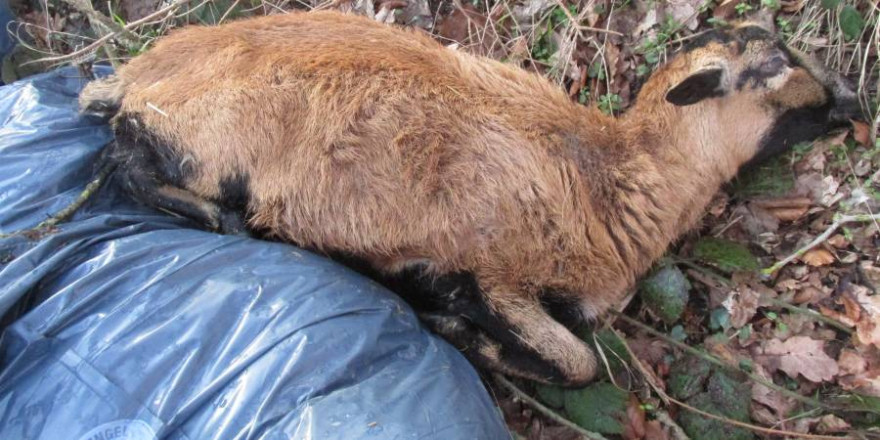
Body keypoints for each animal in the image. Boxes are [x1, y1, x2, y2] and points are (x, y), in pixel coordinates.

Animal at [81, 11, 860, 384]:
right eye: (772, 65)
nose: (853, 102)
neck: (611, 176)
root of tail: (133, 75)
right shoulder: (497, 275)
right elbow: (577, 364)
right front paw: (452, 330)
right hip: (205, 145)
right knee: (123, 160)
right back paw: (226, 221)